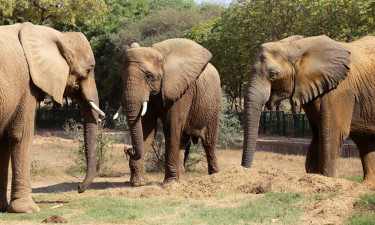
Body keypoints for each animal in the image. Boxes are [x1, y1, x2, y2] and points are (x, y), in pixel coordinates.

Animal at [0, 22, 106, 213]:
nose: (78, 187)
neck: (59, 35)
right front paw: (28, 209)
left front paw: (4, 207)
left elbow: (3, 140)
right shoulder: (26, 83)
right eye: (88, 71)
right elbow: (20, 134)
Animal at [113, 39, 222, 186]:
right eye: (121, 78)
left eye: (149, 76)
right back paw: (182, 178)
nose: (128, 149)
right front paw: (138, 183)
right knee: (183, 141)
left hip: (214, 103)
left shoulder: (181, 91)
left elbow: (171, 127)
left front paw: (169, 183)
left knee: (209, 142)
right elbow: (148, 129)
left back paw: (214, 176)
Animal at [241, 34, 375, 186]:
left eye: (272, 75)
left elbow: (332, 133)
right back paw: (367, 185)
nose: (245, 169)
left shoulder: (339, 90)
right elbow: (317, 135)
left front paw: (328, 180)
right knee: (364, 140)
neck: (297, 47)